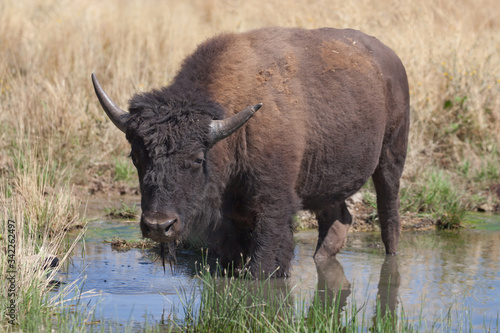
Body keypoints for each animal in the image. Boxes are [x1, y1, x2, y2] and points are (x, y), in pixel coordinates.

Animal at [92, 26, 408, 276]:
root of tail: (390, 58)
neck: (231, 134)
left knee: (389, 219)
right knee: (338, 219)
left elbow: (264, 264)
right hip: (326, 179)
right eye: (136, 157)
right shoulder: (229, 223)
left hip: (391, 157)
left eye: (197, 159)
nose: (159, 225)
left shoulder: (273, 208)